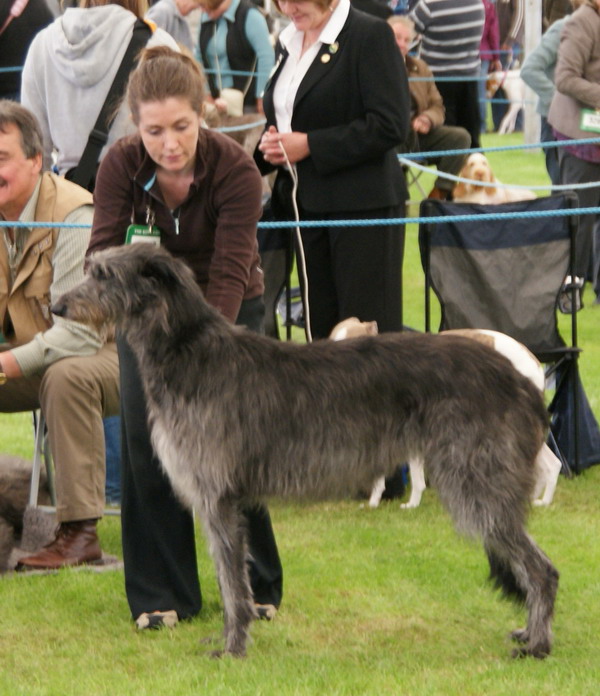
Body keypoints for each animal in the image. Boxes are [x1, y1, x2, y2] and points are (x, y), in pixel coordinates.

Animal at [54, 243, 560, 656]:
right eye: (91, 269)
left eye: (104, 275)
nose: (56, 305)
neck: (189, 351)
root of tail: (523, 378)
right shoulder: (220, 498)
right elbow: (228, 576)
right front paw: (229, 639)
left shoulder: (219, 497)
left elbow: (232, 585)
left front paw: (232, 648)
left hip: (476, 481)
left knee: (543, 570)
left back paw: (536, 645)